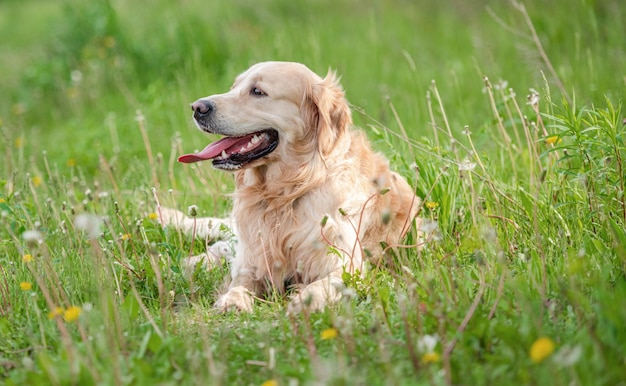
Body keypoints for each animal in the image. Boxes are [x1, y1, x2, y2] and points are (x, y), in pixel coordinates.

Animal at [160, 61, 420, 314]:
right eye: (234, 87)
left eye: (257, 91)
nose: (197, 107)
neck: (287, 191)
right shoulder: (254, 258)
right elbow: (240, 281)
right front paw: (233, 300)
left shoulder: (346, 265)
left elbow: (325, 284)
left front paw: (304, 301)